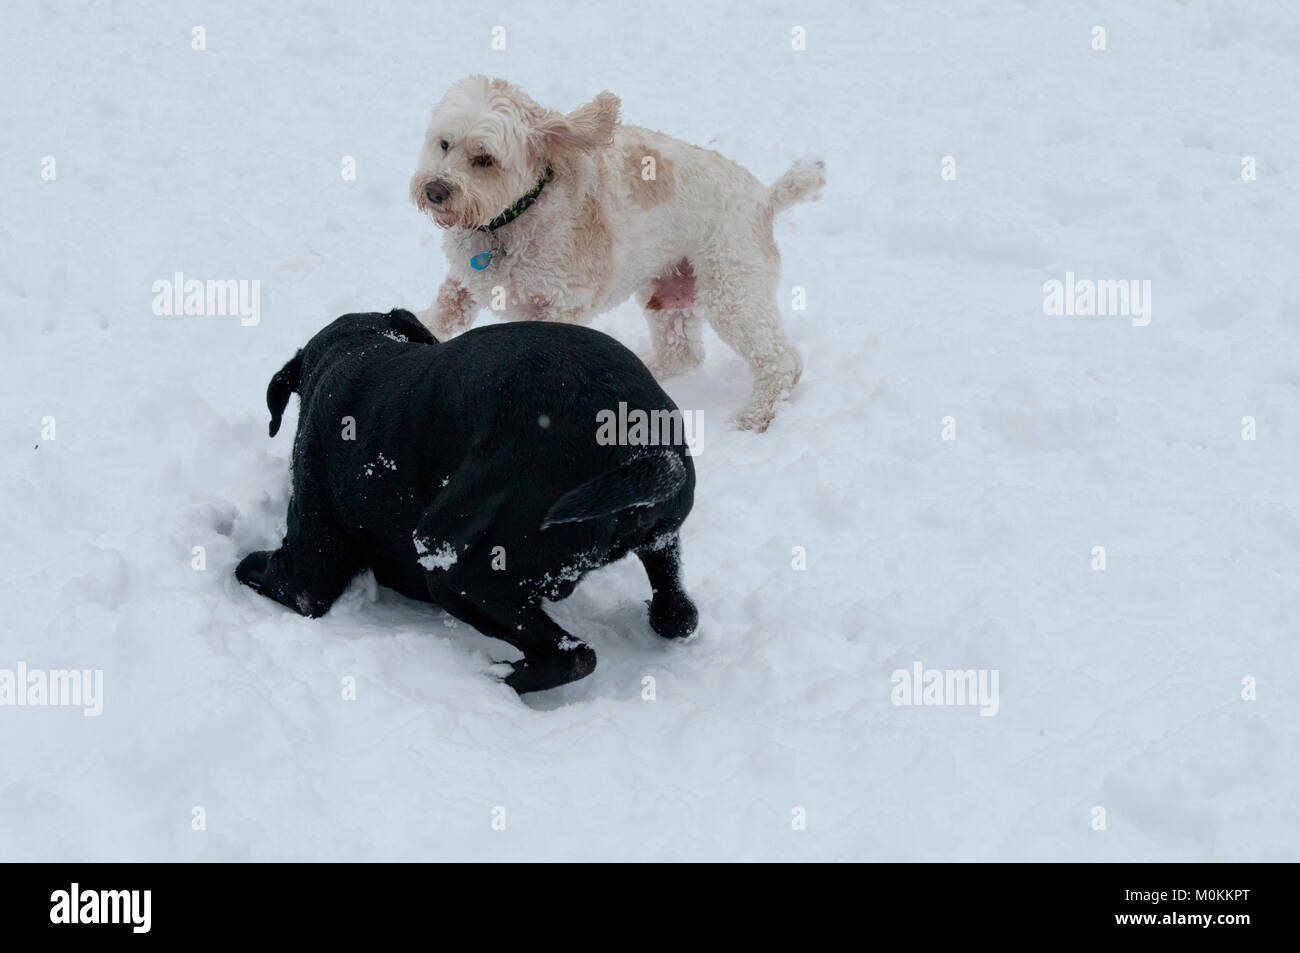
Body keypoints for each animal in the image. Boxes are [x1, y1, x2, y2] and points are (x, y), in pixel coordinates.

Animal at [233, 310, 702, 691]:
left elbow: (254, 570)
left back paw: (497, 680)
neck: (358, 347)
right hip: (660, 543)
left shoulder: (308, 575)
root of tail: (637, 447)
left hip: (453, 565)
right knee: (677, 617)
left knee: (575, 656)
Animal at [410, 75, 821, 431]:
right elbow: (443, 311)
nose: (435, 190)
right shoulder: (464, 281)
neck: (516, 214)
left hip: (732, 288)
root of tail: (764, 198)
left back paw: (758, 416)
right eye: (444, 144)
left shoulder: (563, 303)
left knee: (780, 361)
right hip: (669, 286)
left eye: (485, 160)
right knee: (682, 350)